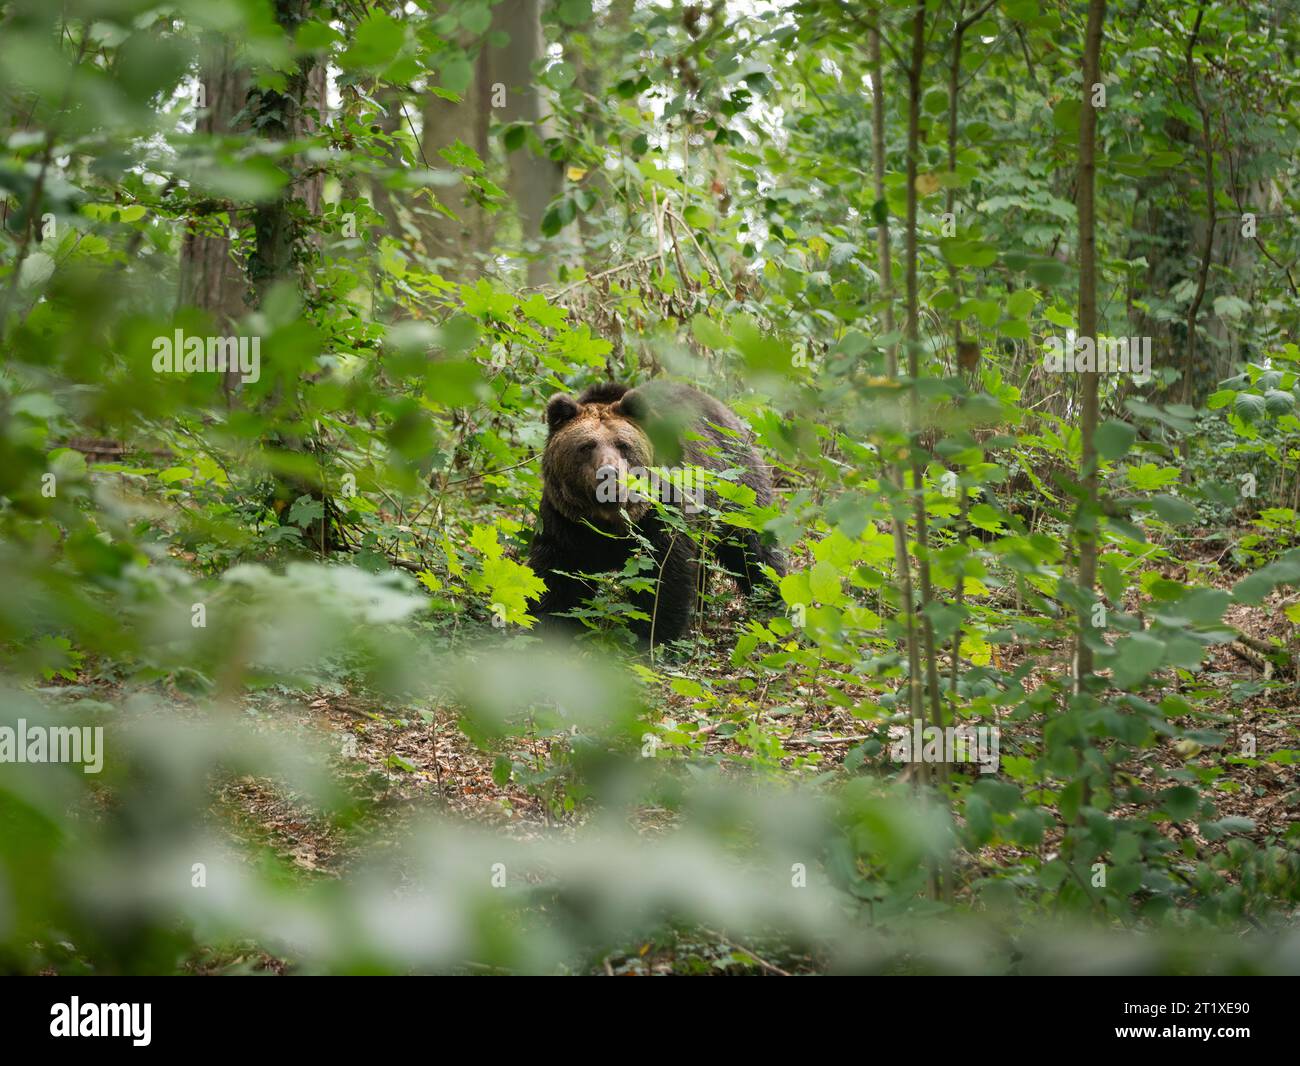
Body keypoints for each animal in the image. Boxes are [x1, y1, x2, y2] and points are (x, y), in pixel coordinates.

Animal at [527, 379, 785, 645]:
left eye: (623, 445)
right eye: (587, 445)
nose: (609, 472)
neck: (609, 520)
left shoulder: (661, 512)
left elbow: (664, 577)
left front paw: (652, 636)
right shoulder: (567, 523)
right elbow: (557, 578)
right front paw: (550, 631)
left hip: (735, 489)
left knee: (754, 551)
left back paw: (773, 602)